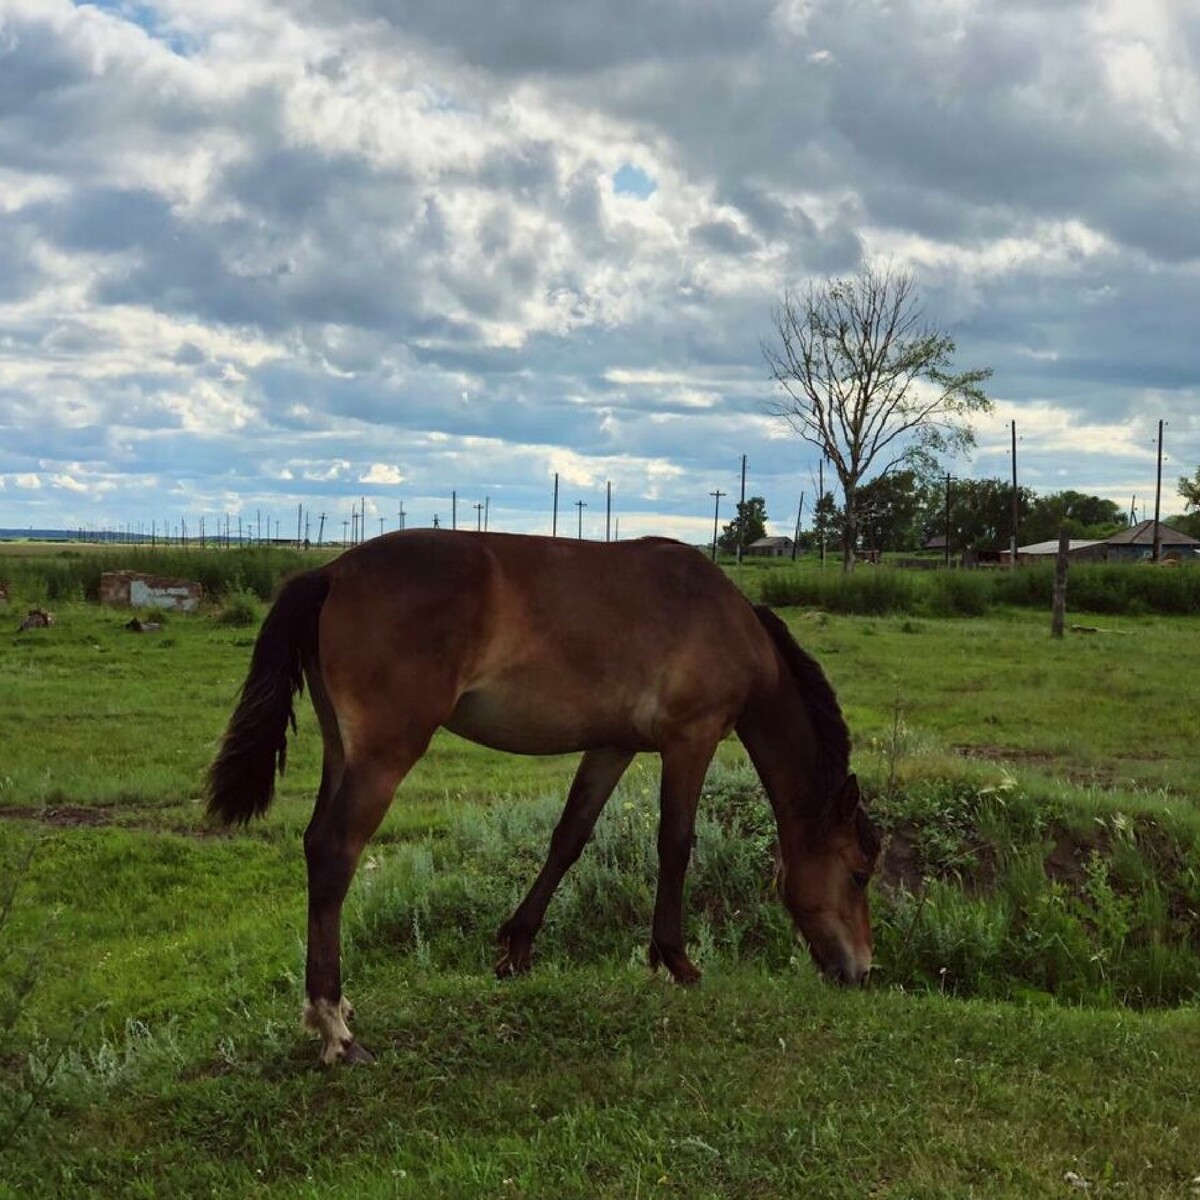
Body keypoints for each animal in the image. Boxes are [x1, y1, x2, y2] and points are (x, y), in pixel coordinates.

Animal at [208, 530, 883, 1065]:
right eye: (857, 874)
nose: (861, 970)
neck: (726, 621)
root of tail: (330, 572)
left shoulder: (612, 746)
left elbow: (569, 837)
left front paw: (517, 948)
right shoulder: (689, 741)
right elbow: (676, 843)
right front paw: (676, 961)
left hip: (341, 750)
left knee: (316, 843)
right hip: (384, 756)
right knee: (333, 851)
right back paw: (335, 1029)